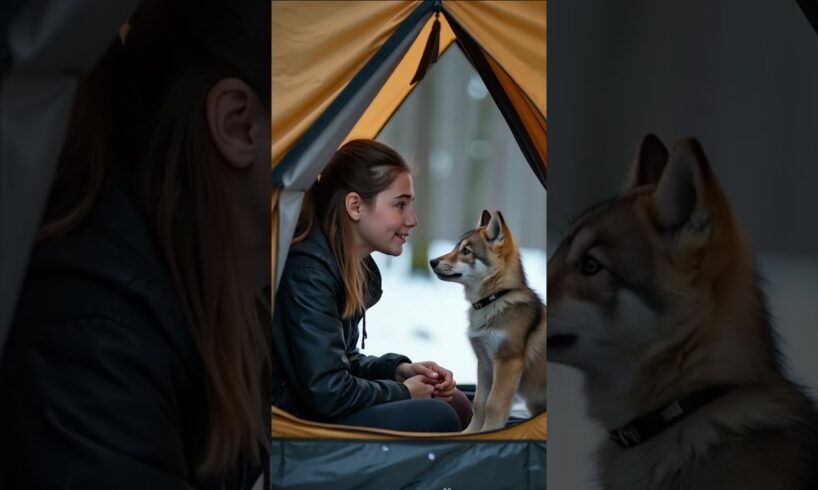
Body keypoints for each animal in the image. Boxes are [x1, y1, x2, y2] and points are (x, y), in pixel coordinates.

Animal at [430, 210, 547, 433]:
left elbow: (494, 404)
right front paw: (470, 433)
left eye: (466, 251)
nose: (432, 261)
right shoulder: (484, 363)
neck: (493, 300)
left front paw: (489, 431)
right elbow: (479, 403)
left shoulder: (507, 362)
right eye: (456, 246)